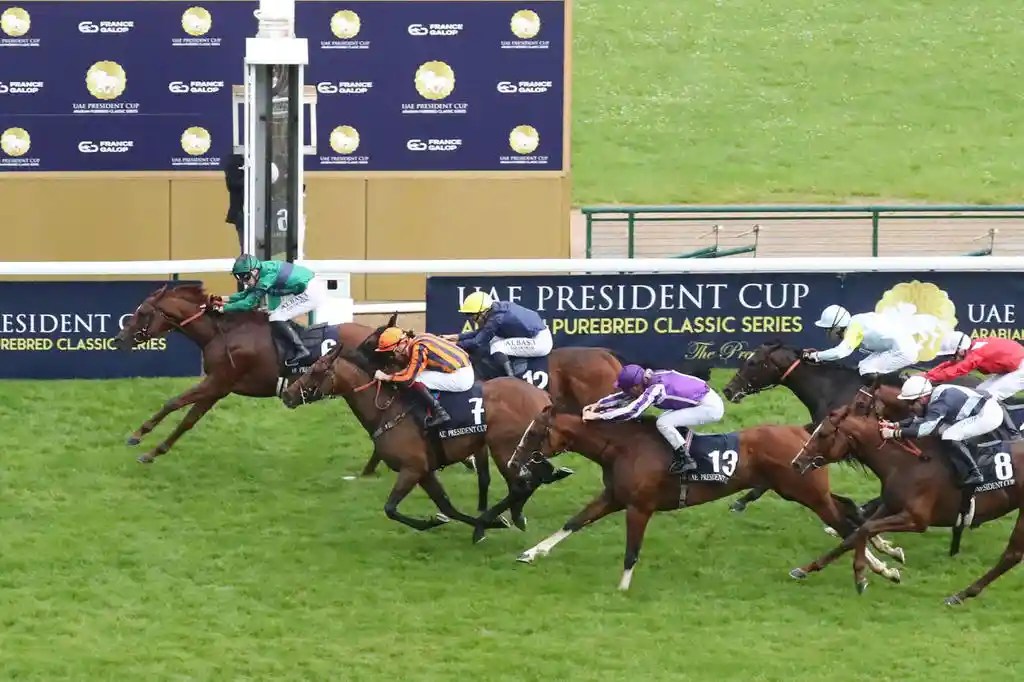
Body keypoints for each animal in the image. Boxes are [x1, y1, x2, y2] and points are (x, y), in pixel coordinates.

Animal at [112, 283, 381, 463]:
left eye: (143, 313)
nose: (119, 340)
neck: (223, 334)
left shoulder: (217, 382)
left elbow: (173, 403)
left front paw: (138, 436)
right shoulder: (217, 388)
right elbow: (189, 420)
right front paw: (152, 451)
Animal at [280, 344, 557, 543]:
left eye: (316, 371)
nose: (287, 395)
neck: (387, 410)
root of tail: (542, 397)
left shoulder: (412, 468)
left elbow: (390, 508)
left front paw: (435, 522)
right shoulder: (425, 471)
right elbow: (447, 506)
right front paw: (481, 522)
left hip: (505, 449)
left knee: (522, 485)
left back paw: (488, 524)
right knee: (530, 481)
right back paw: (512, 517)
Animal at [502, 402, 903, 591]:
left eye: (534, 432)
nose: (514, 461)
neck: (623, 447)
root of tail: (804, 433)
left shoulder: (639, 507)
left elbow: (632, 550)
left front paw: (623, 587)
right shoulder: (614, 496)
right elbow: (574, 522)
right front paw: (531, 553)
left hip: (804, 492)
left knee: (845, 523)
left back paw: (880, 566)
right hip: (801, 488)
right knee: (848, 510)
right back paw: (885, 557)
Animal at [790, 402, 1024, 606]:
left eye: (823, 434)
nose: (796, 462)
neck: (906, 463)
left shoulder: (916, 519)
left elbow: (865, 528)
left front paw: (860, 577)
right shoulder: (890, 506)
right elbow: (852, 536)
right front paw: (806, 568)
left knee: (1012, 555)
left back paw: (960, 595)